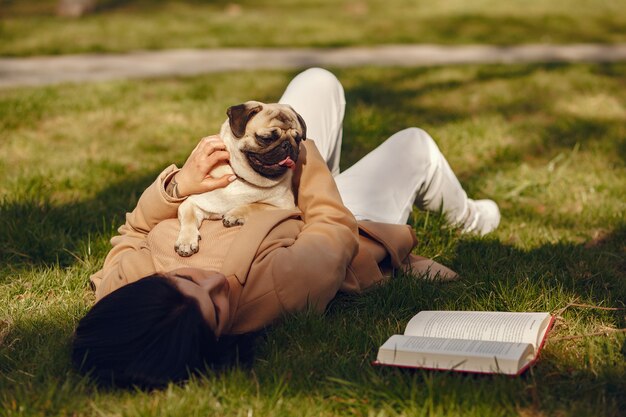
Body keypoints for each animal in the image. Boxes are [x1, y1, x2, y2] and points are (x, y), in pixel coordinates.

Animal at [174, 101, 306, 256]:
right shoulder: (192, 203)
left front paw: (235, 214)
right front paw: (186, 241)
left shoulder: (286, 207)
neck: (242, 178)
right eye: (266, 138)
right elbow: (188, 219)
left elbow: (256, 205)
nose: (288, 145)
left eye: (298, 139)